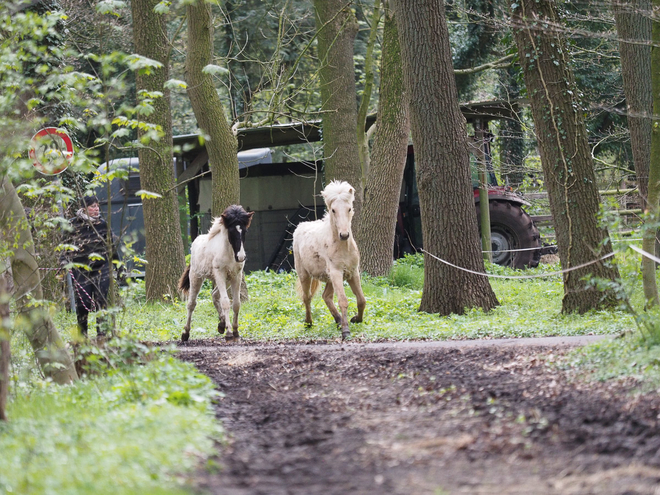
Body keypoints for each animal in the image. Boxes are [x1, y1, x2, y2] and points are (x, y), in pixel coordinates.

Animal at [179, 204, 254, 340]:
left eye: (245, 231)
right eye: (231, 231)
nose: (241, 257)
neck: (229, 253)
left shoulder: (236, 276)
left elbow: (236, 304)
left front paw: (235, 331)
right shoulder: (220, 273)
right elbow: (225, 302)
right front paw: (229, 333)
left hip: (226, 280)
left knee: (214, 295)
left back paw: (221, 324)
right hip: (196, 277)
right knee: (191, 303)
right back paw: (185, 333)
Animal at [292, 182, 366, 340]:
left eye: (349, 208)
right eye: (333, 210)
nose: (344, 235)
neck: (343, 247)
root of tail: (300, 226)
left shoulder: (353, 272)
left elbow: (361, 299)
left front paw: (356, 319)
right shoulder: (337, 272)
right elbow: (343, 300)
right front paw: (346, 331)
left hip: (330, 277)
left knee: (326, 296)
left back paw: (338, 320)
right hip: (304, 274)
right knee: (307, 297)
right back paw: (308, 322)